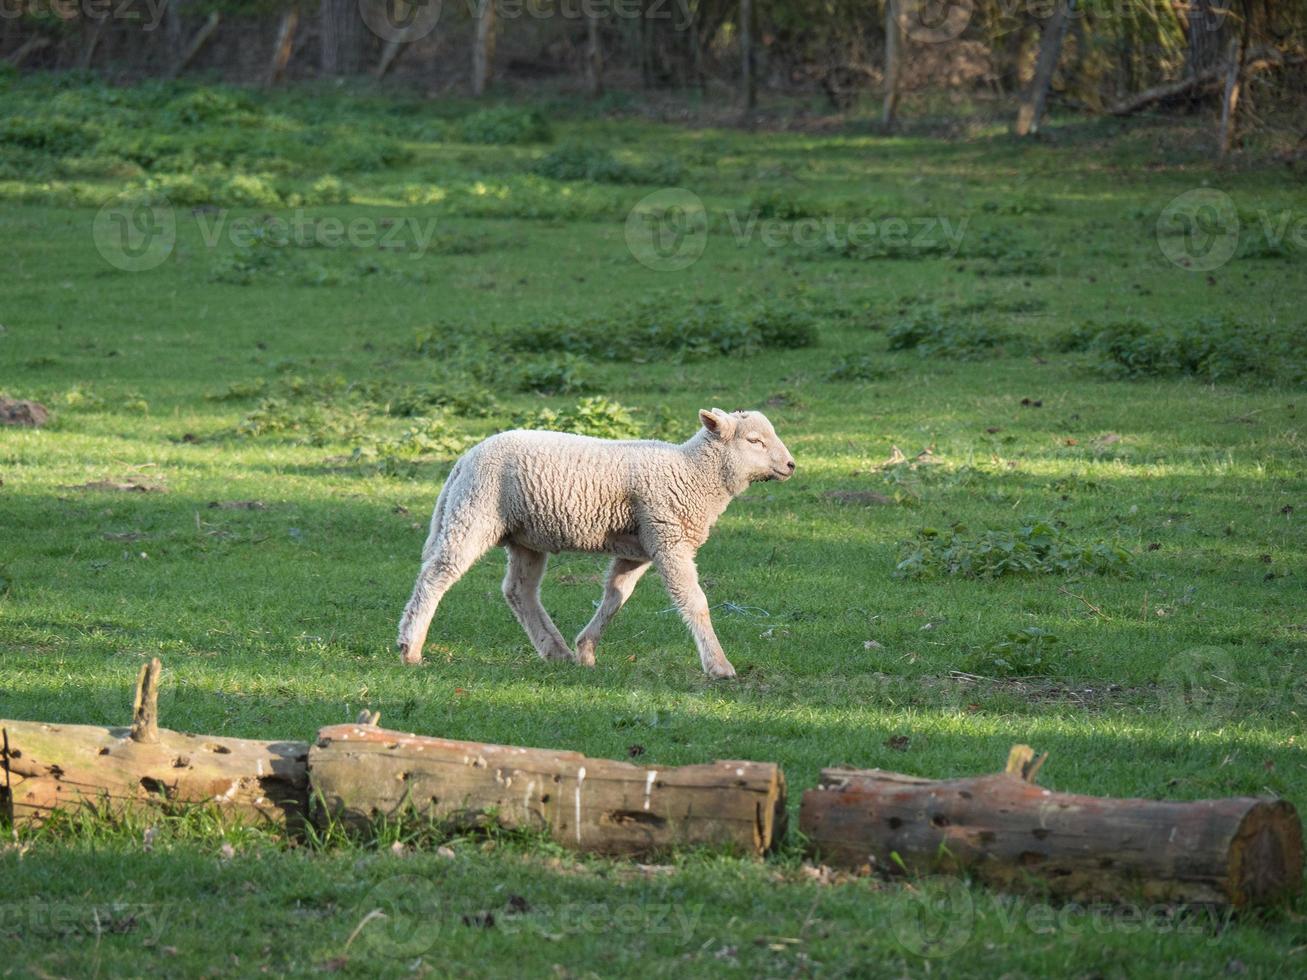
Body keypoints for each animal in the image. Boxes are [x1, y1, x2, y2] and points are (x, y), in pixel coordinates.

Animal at [392, 407, 789, 674]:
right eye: (754, 441)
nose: (791, 466)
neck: (692, 472)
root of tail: (465, 458)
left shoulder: (638, 548)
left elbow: (616, 597)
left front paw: (586, 650)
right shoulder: (667, 539)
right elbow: (695, 602)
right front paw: (719, 666)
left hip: (525, 537)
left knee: (519, 590)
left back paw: (556, 651)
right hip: (475, 513)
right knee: (436, 576)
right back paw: (411, 647)